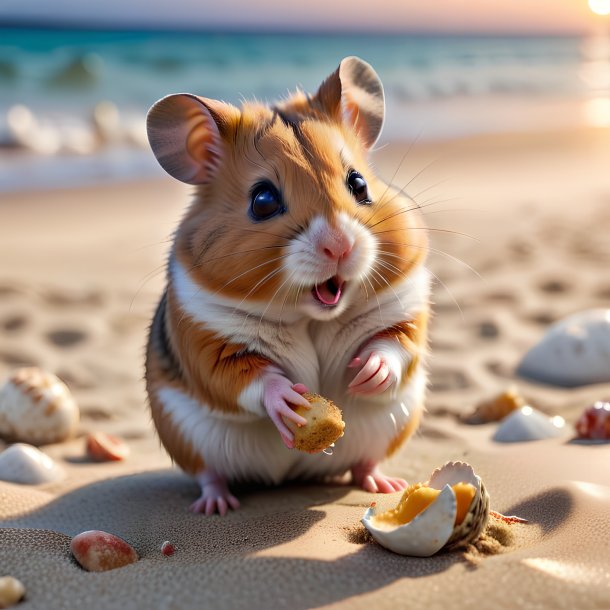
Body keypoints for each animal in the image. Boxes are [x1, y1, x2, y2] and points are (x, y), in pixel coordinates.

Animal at [144, 55, 428, 512]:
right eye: (262, 201)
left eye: (359, 184)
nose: (340, 246)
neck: (309, 315)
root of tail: (288, 476)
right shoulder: (207, 342)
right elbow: (253, 379)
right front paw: (291, 400)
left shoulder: (406, 310)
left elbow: (393, 345)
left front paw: (367, 373)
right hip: (185, 436)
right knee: (208, 474)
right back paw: (216, 504)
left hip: (393, 423)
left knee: (365, 463)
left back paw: (385, 484)